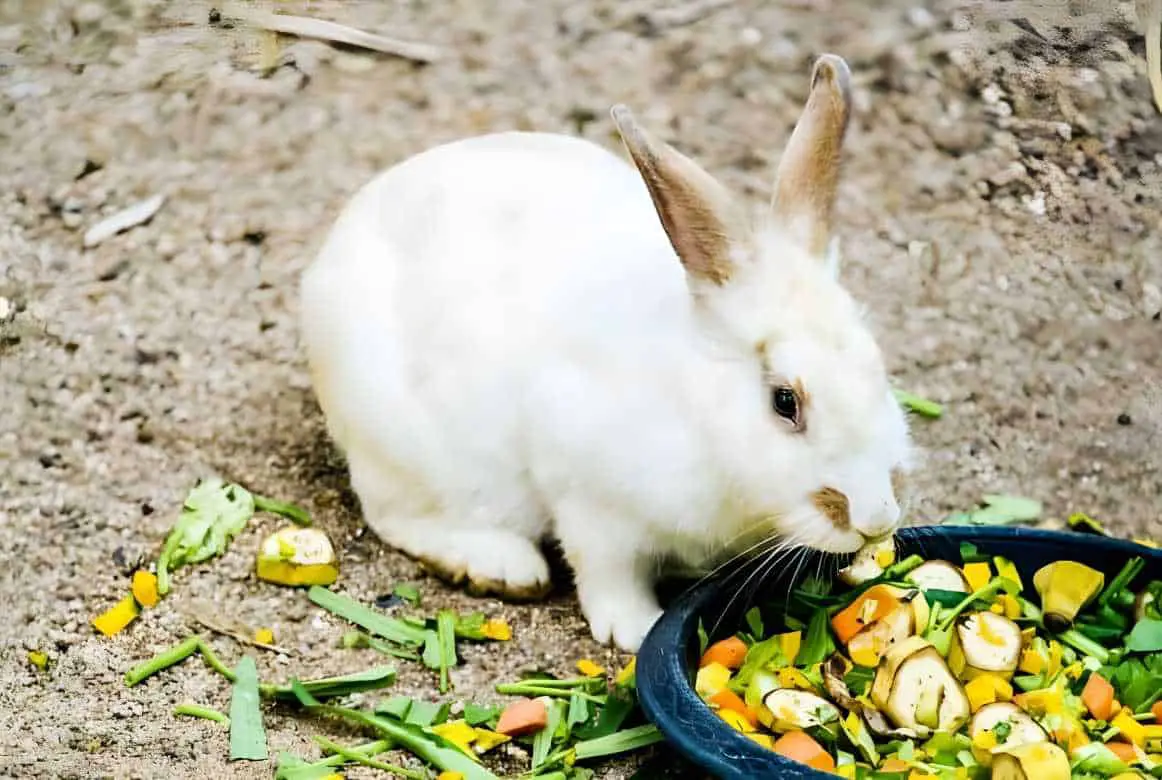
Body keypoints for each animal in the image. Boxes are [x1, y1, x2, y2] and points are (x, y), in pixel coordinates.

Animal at [299, 54, 915, 650]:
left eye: (878, 369)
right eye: (785, 401)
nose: (876, 518)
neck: (696, 409)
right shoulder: (589, 498)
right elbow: (605, 570)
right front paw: (635, 629)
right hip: (411, 454)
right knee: (395, 516)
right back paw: (502, 566)